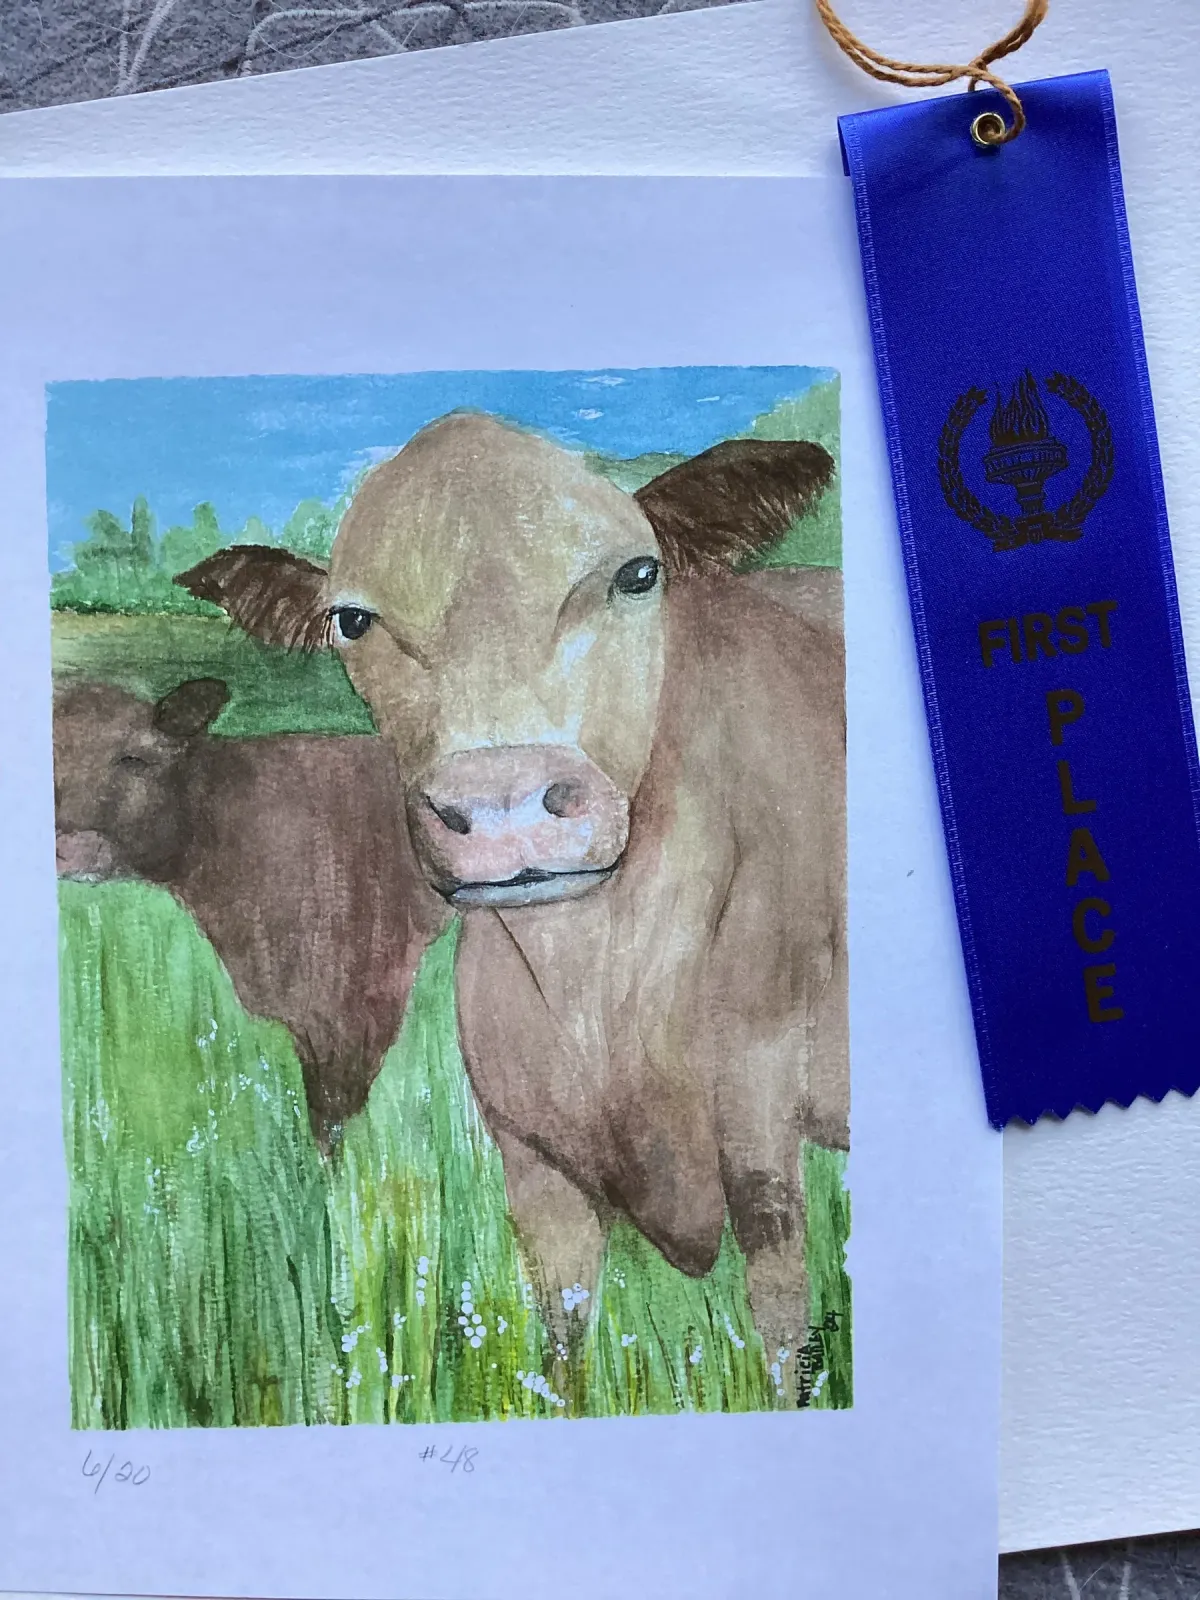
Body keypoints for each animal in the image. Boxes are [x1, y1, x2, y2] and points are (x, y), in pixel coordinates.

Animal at [179, 411, 848, 1400]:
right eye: (352, 619)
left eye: (636, 574)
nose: (502, 806)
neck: (603, 988)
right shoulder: (534, 1168)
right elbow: (562, 1355)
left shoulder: (762, 1133)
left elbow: (778, 1335)